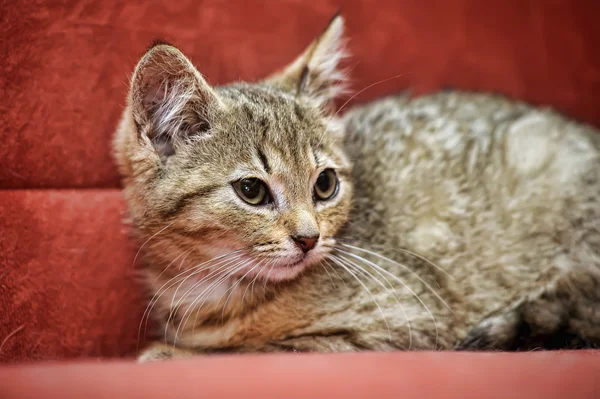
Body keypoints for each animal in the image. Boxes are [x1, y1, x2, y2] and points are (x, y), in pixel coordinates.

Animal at [112, 14, 600, 362]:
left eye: (325, 184)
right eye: (251, 191)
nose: (309, 238)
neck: (210, 285)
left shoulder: (399, 325)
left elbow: (252, 350)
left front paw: (172, 353)